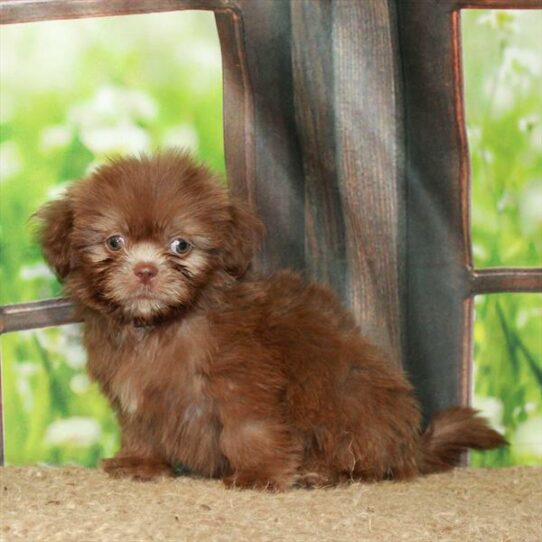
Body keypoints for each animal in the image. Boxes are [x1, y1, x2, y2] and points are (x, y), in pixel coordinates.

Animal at [36, 151, 508, 490]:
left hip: (344, 397)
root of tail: (409, 447)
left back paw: (325, 473)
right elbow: (141, 427)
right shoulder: (135, 391)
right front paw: (140, 463)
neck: (163, 325)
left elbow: (249, 429)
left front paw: (258, 475)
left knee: (363, 457)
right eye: (114, 242)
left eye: (181, 245)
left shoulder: (243, 381)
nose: (146, 271)